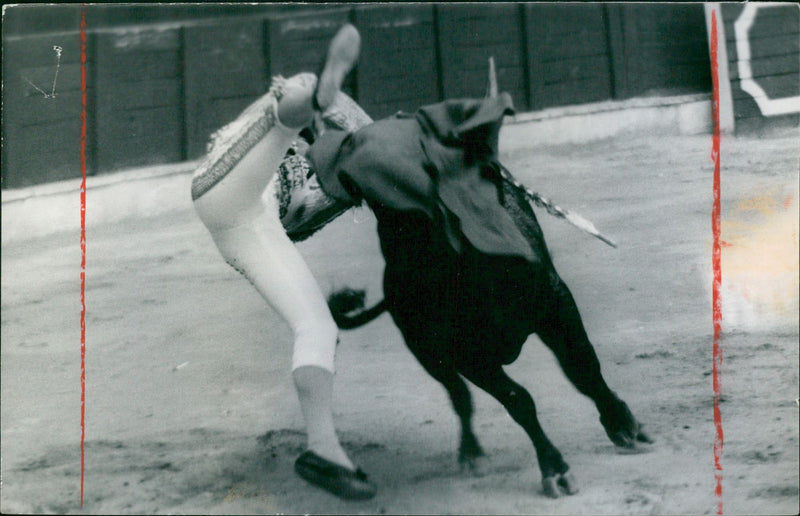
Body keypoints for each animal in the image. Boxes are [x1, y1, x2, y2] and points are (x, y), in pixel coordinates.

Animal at [328, 171, 652, 498]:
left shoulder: (556, 303)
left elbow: (584, 367)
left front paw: (622, 424)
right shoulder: (465, 355)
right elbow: (518, 399)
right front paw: (555, 468)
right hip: (427, 352)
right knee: (459, 395)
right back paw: (471, 454)